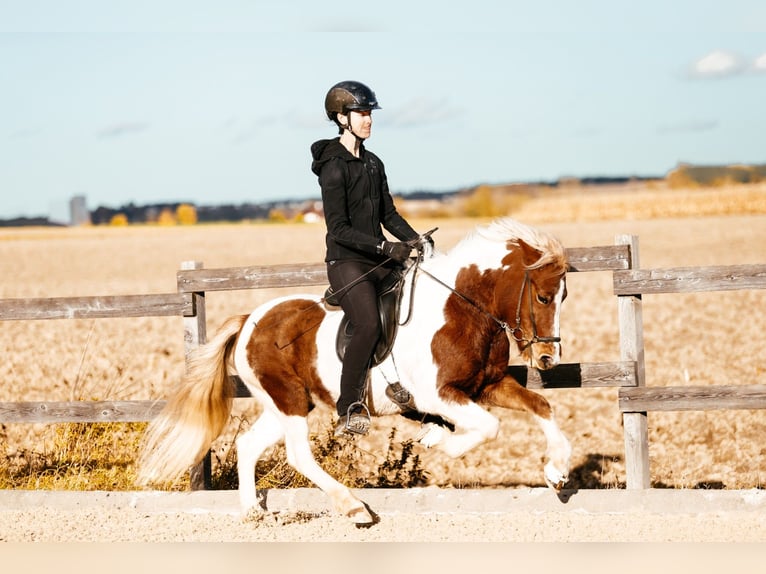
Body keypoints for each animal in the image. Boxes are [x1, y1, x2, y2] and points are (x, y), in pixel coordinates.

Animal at [137, 217, 572, 524]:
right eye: (543, 296)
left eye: (563, 296)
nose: (547, 359)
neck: (462, 308)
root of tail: (249, 321)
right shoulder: (439, 394)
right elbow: (489, 426)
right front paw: (444, 444)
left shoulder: (489, 385)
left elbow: (541, 407)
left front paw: (557, 473)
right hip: (288, 401)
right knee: (298, 454)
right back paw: (352, 507)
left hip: (286, 403)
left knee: (248, 445)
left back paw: (254, 512)